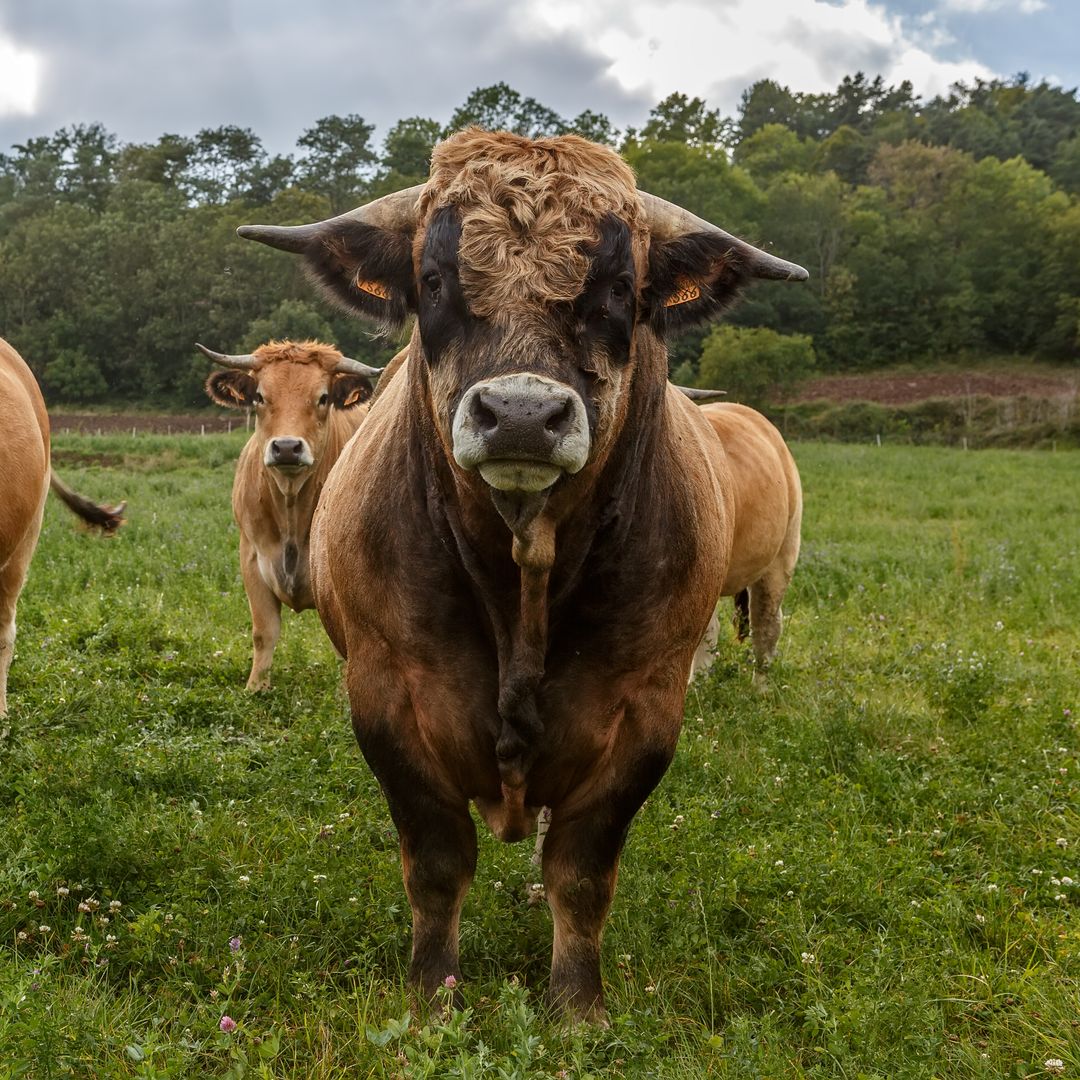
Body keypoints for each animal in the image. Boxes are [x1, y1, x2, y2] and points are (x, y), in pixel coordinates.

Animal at [197, 339, 381, 690]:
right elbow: (263, 631)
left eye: (323, 397)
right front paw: (256, 687)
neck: (291, 505)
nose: (285, 447)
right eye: (259, 396)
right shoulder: (251, 557)